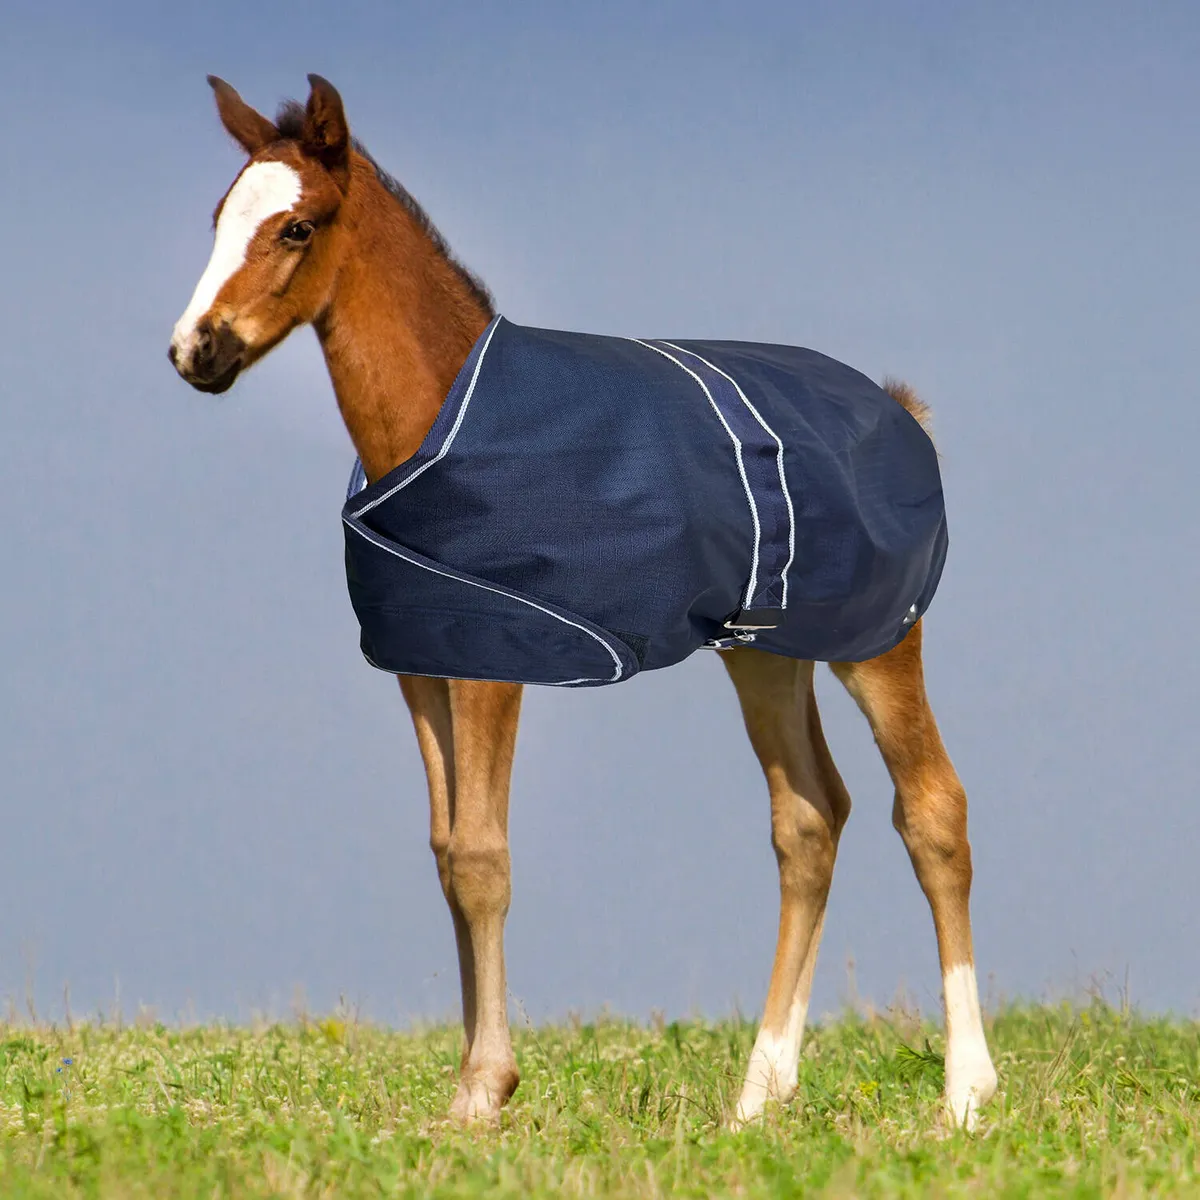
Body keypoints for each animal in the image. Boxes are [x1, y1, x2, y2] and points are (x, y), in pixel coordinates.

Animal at [168, 74, 998, 1130]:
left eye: (298, 227)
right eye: (219, 220)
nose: (195, 350)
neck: (442, 422)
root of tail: (901, 410)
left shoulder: (495, 659)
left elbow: (483, 858)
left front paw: (485, 1092)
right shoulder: (420, 663)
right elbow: (445, 852)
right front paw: (473, 1081)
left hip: (876, 639)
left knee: (933, 810)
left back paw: (966, 1093)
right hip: (765, 651)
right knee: (810, 820)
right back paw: (759, 1096)